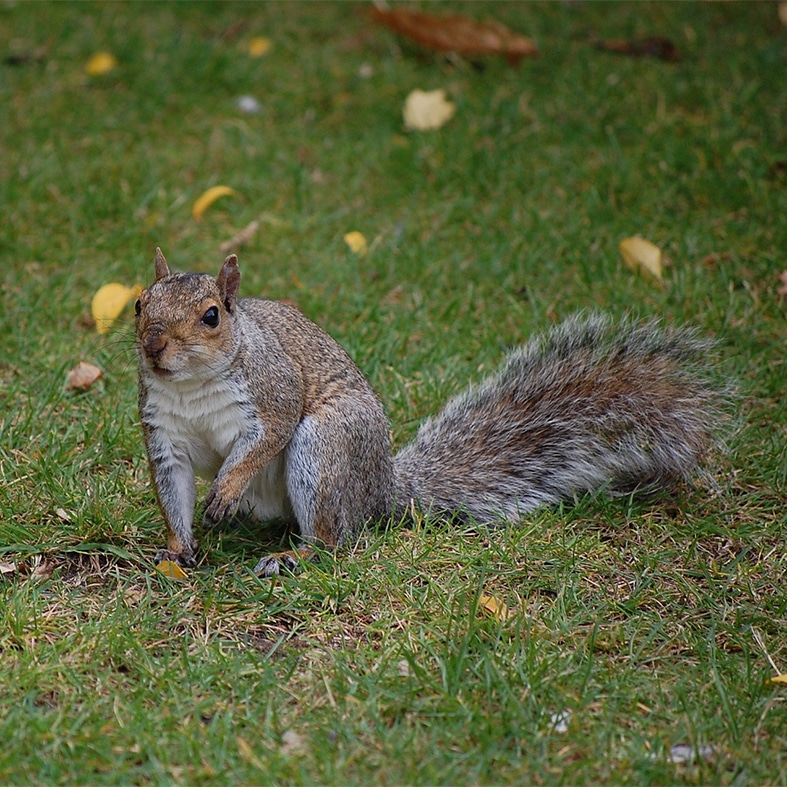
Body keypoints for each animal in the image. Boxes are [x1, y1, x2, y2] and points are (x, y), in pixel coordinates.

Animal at [135, 249, 728, 576]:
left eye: (212, 316)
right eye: (140, 303)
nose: (153, 346)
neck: (191, 386)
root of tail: (381, 490)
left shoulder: (272, 391)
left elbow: (263, 440)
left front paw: (226, 491)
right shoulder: (164, 437)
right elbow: (174, 492)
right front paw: (178, 550)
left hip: (325, 448)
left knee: (333, 539)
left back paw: (292, 557)